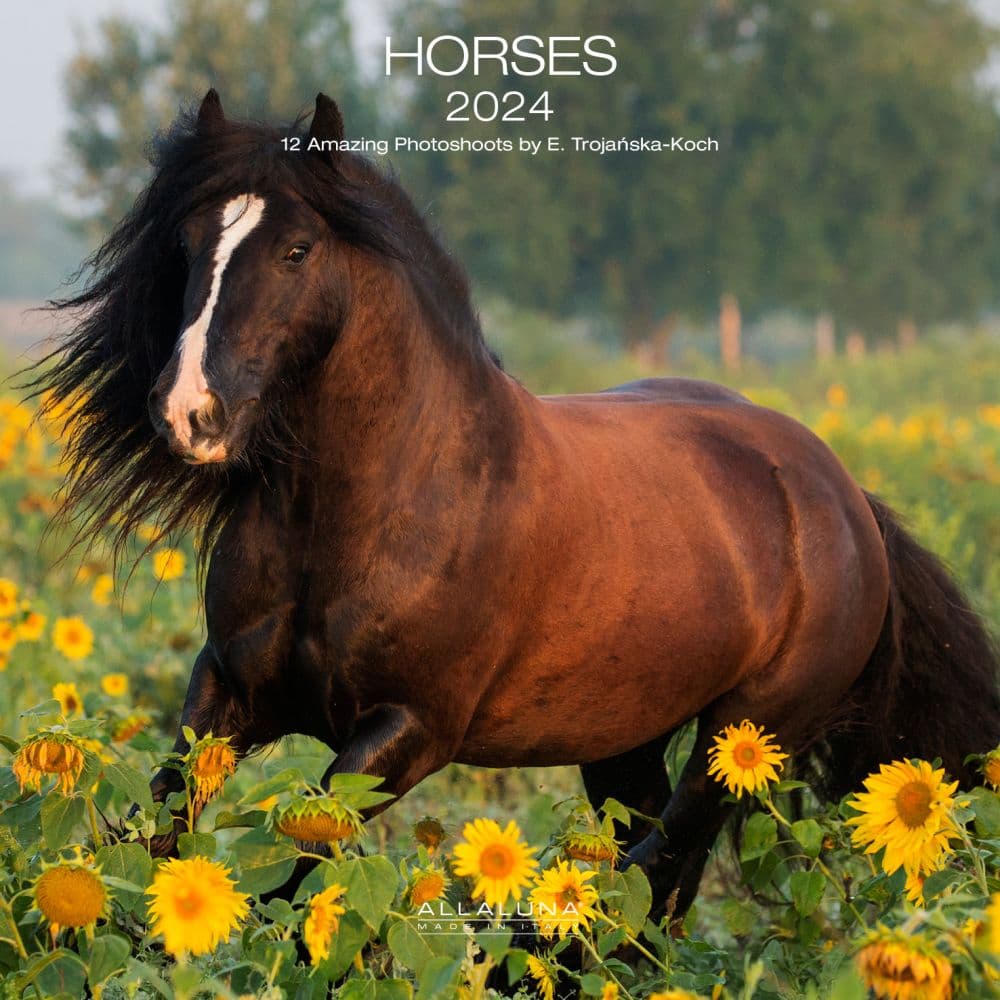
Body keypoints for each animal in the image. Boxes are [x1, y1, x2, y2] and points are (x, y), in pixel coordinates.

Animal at [37, 89, 1000, 920]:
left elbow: (302, 864)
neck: (369, 509)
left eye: (297, 250)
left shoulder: (411, 732)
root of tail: (838, 493)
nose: (188, 413)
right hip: (624, 742)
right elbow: (159, 829)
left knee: (655, 875)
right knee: (651, 881)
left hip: (742, 742)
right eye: (189, 241)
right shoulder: (227, 690)